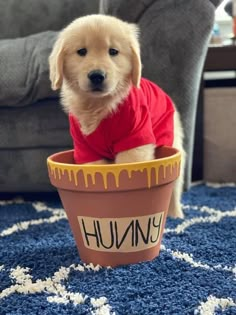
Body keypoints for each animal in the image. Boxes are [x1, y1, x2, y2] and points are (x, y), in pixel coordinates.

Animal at [49, 15, 185, 220]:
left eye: (113, 51)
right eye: (81, 51)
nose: (97, 76)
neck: (99, 106)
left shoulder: (135, 140)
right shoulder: (86, 149)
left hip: (172, 139)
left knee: (175, 185)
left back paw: (175, 215)